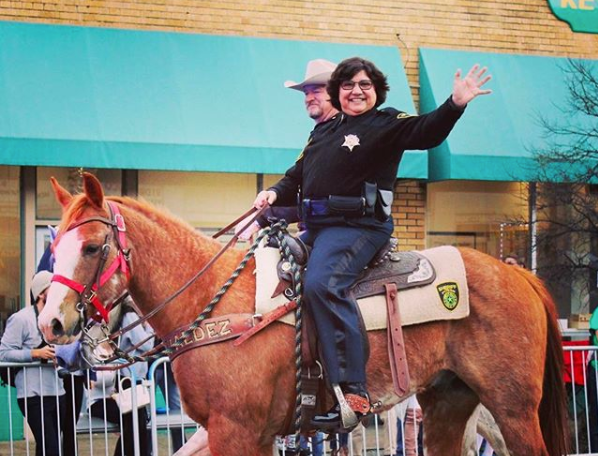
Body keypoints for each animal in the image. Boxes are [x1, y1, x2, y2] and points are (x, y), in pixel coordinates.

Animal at [38, 174, 572, 456]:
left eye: (91, 246)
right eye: (54, 244)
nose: (51, 323)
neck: (211, 300)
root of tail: (517, 274)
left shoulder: (235, 430)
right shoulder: (237, 433)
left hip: (512, 408)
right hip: (451, 404)